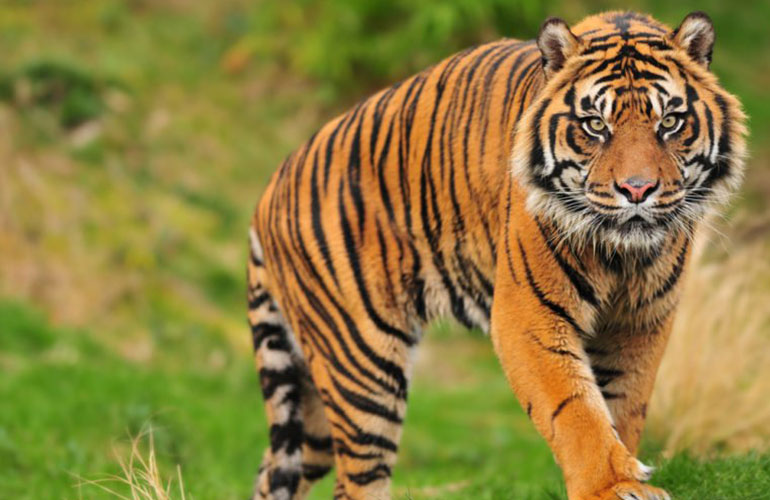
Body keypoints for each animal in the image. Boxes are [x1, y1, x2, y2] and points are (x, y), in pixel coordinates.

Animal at [245, 10, 746, 500]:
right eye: (595, 126)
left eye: (670, 122)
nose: (637, 190)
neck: (622, 255)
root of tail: (269, 190)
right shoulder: (528, 315)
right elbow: (576, 410)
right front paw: (611, 486)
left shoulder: (640, 322)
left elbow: (623, 406)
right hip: (362, 366)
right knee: (356, 482)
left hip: (313, 405)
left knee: (276, 472)